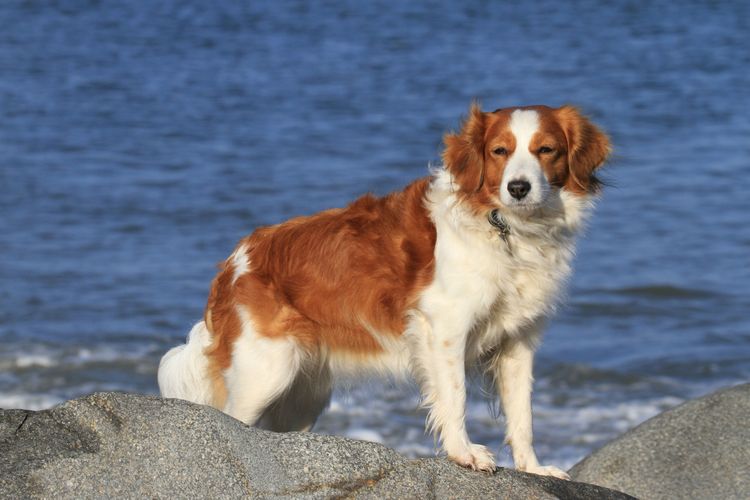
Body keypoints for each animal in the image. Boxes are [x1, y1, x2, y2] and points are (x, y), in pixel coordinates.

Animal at [157, 103, 612, 478]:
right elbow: (455, 398)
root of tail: (234, 262)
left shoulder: (518, 342)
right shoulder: (444, 328)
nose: (518, 187)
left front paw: (532, 468)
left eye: (546, 150)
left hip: (303, 394)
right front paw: (464, 453)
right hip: (267, 371)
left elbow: (523, 416)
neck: (505, 229)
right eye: (500, 151)